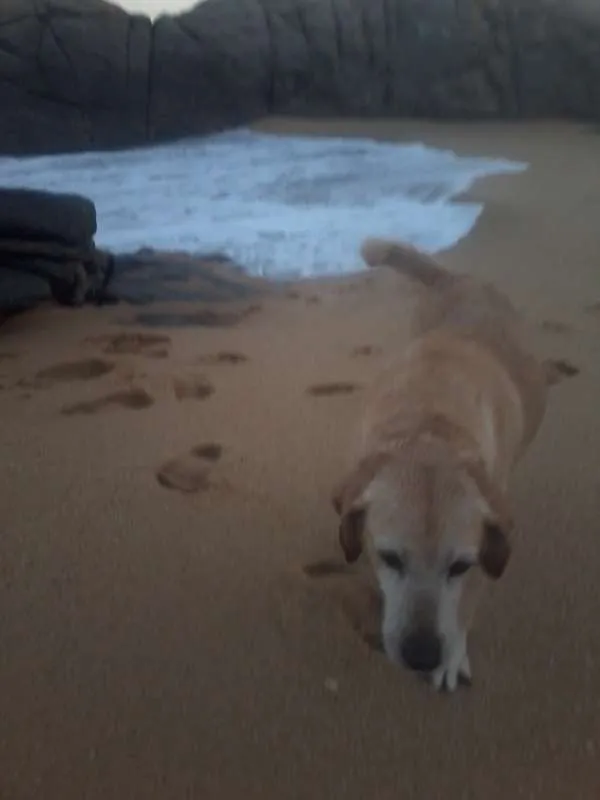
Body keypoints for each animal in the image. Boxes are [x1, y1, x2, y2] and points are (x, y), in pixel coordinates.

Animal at [330, 236, 568, 688]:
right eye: (390, 558)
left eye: (459, 566)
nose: (422, 655)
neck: (429, 427)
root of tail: (458, 276)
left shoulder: (488, 546)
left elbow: (466, 605)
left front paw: (452, 656)